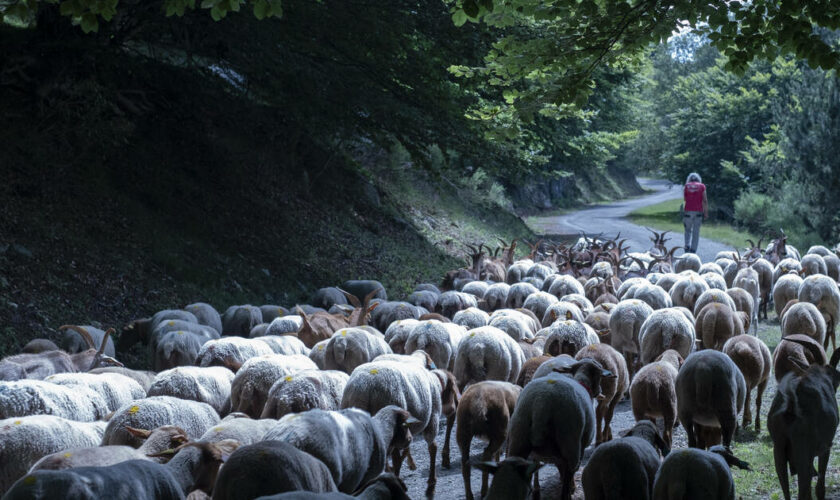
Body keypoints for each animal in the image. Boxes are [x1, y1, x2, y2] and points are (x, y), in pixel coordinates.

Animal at [342, 360, 460, 496]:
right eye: (452, 389)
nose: (453, 410)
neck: (437, 384)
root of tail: (364, 388)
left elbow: (407, 449)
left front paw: (410, 464)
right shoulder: (432, 418)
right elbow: (432, 448)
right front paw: (431, 484)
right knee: (396, 459)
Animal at [506, 360, 616, 500]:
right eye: (599, 376)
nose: (600, 391)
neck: (581, 380)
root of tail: (541, 405)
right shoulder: (579, 448)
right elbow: (568, 474)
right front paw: (571, 487)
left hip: (518, 438)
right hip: (570, 442)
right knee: (567, 477)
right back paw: (567, 494)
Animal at [768, 344, 840, 500]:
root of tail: (791, 403)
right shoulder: (825, 447)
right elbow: (819, 485)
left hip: (779, 449)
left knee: (787, 488)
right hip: (802, 450)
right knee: (804, 488)